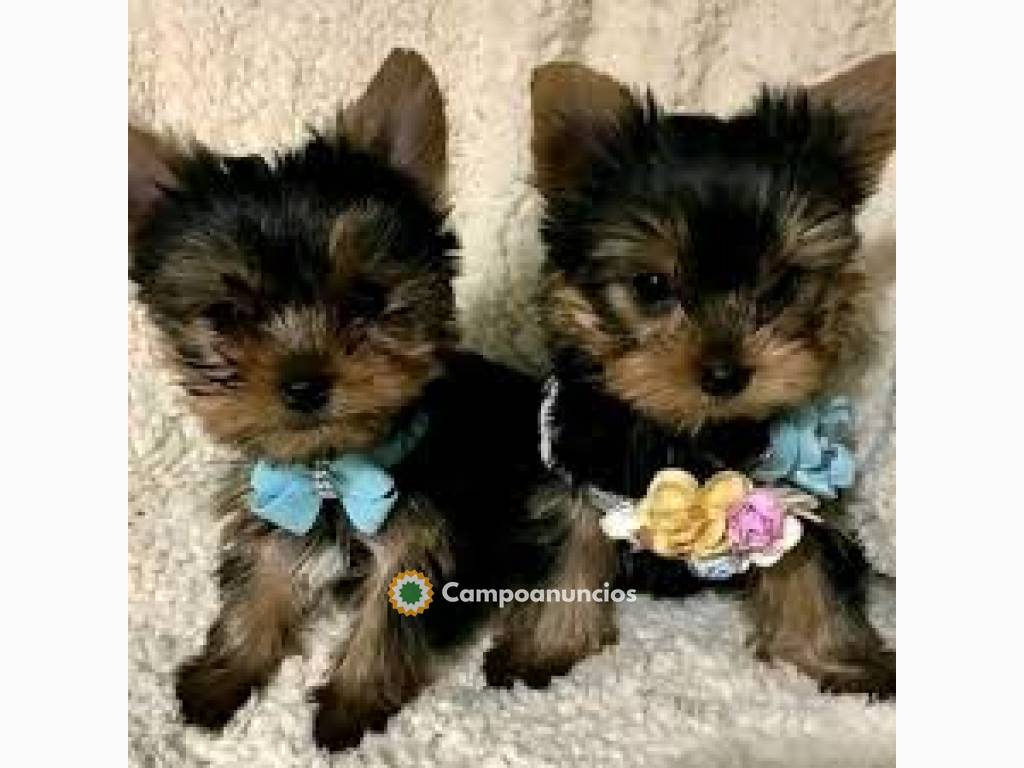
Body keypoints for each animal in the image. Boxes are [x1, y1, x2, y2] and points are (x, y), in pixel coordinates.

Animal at [130, 49, 544, 753]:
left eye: (369, 299)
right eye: (229, 316)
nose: (303, 383)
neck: (332, 465)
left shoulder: (425, 531)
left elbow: (392, 614)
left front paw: (350, 705)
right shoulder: (274, 501)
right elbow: (259, 577)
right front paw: (225, 672)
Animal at [483, 57, 892, 700]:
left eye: (783, 287)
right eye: (652, 286)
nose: (725, 374)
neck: (692, 430)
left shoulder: (791, 486)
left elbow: (810, 559)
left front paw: (839, 658)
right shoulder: (578, 466)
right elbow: (567, 546)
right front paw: (541, 649)